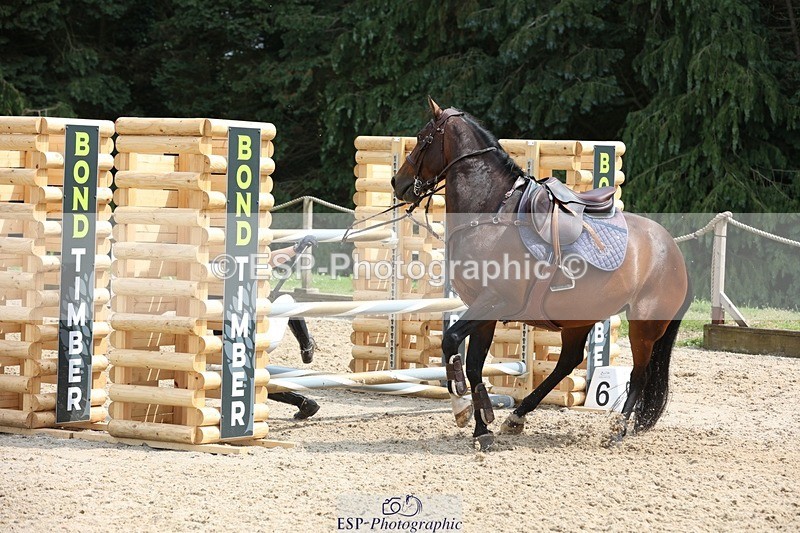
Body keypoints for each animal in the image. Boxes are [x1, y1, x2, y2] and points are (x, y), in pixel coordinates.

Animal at [391, 98, 690, 450]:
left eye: (422, 138)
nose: (398, 183)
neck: (491, 211)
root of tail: (673, 249)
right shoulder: (484, 309)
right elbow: (475, 365)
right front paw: (482, 428)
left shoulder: (494, 301)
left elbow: (451, 342)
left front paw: (462, 408)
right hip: (578, 318)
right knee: (568, 362)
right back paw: (517, 416)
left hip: (644, 326)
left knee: (638, 375)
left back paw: (616, 430)